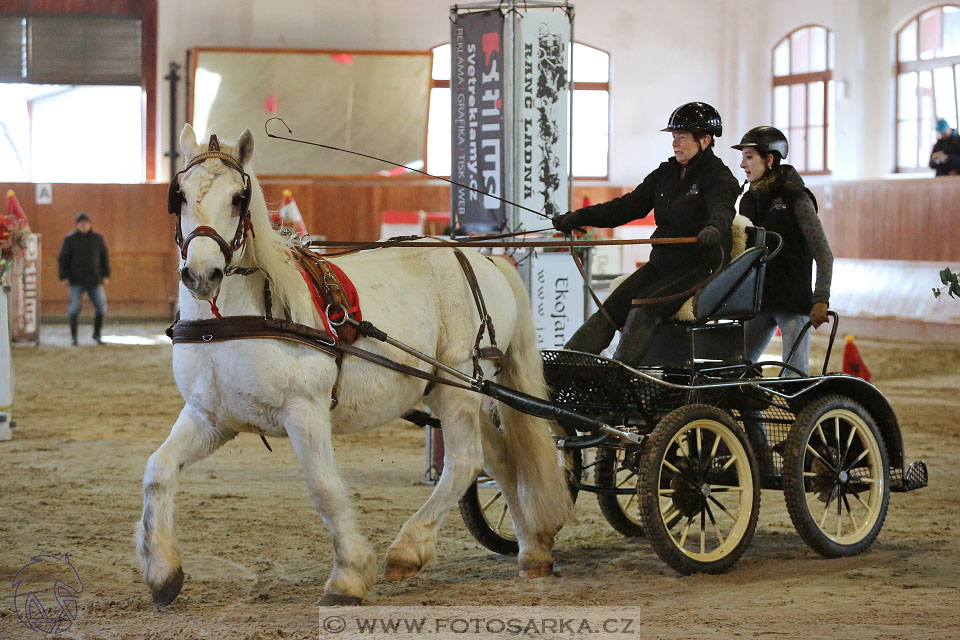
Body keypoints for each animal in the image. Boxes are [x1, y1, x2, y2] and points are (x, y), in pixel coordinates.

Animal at [134, 127, 568, 608]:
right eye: (179, 195)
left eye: (237, 198)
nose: (201, 274)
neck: (230, 321)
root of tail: (484, 259)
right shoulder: (210, 417)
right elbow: (157, 471)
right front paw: (163, 573)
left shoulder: (305, 411)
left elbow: (323, 488)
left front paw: (348, 577)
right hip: (446, 390)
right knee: (501, 458)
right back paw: (533, 550)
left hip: (459, 386)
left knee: (464, 461)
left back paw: (409, 549)